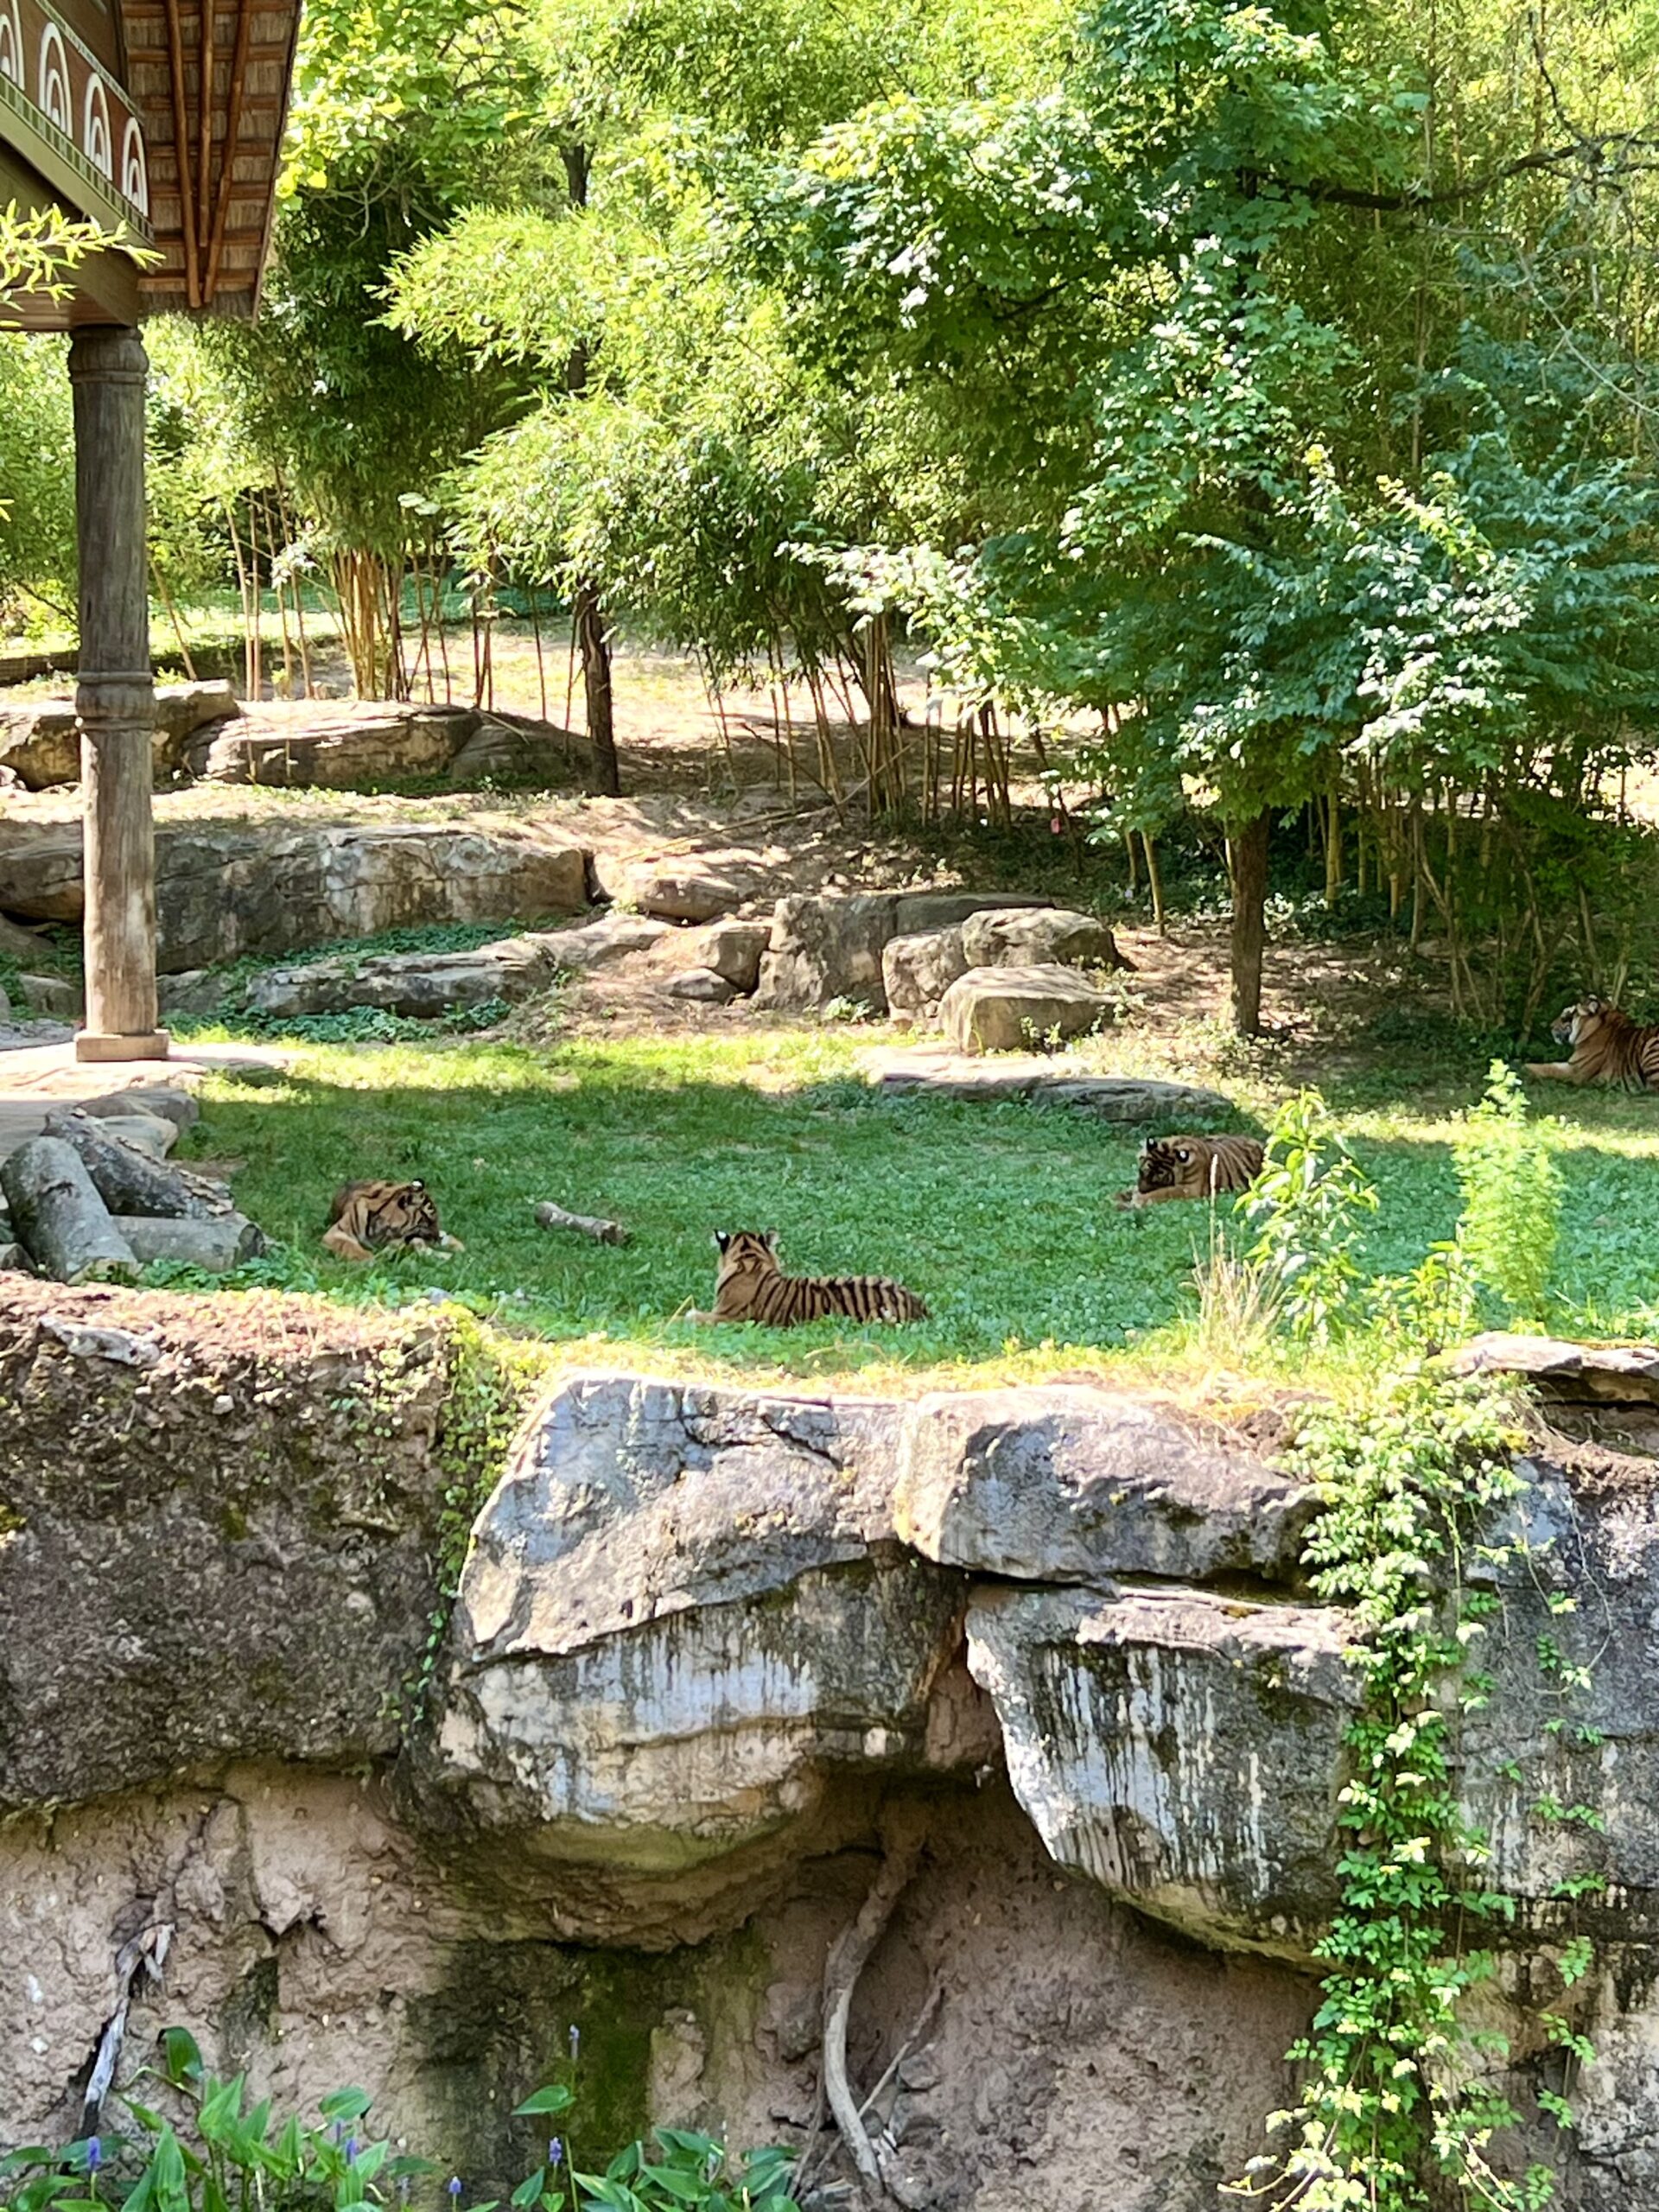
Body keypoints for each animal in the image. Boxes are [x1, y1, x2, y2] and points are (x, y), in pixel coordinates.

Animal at [1119, 1141, 1274, 1211]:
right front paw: (1122, 1195)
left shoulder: (1190, 1188)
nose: (1141, 1189)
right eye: (1142, 1172)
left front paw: (1137, 1199)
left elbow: (1163, 1192)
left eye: (1158, 1180)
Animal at [1530, 1000, 1659, 1092]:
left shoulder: (1576, 1071)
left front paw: (1526, 1067)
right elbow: (1551, 1065)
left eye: (1565, 1017)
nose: (1551, 1026)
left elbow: (1550, 1068)